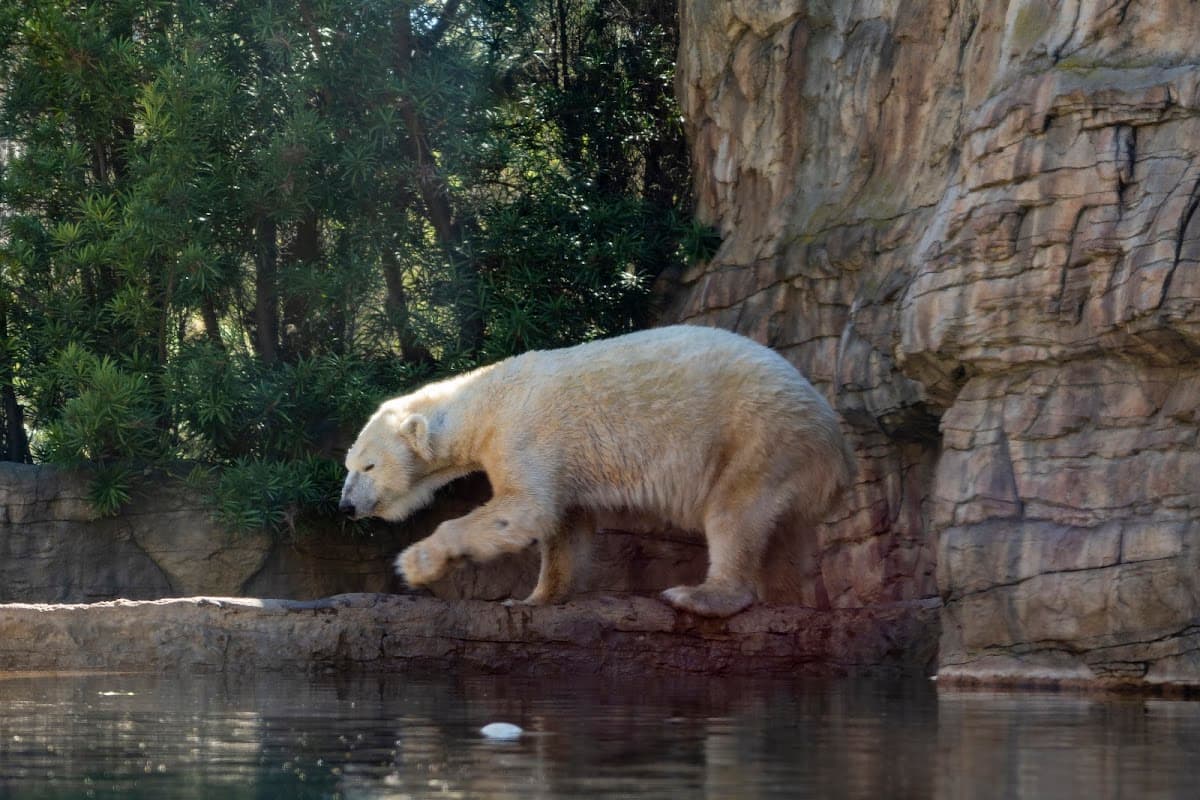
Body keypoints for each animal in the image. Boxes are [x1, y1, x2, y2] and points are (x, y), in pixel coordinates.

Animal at [339, 325, 856, 617]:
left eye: (367, 464)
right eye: (349, 465)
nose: (345, 505)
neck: (487, 398)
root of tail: (836, 444)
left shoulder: (525, 433)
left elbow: (522, 509)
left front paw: (415, 564)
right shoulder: (562, 461)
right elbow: (566, 525)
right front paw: (533, 598)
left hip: (758, 433)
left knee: (735, 512)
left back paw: (697, 595)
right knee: (779, 532)